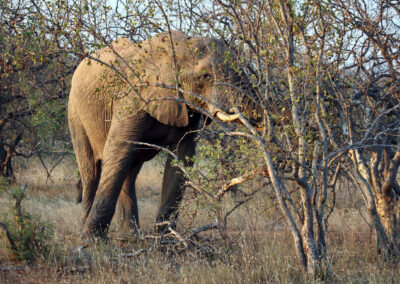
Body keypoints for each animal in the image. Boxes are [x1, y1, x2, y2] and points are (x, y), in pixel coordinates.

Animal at [67, 31, 252, 239]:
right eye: (205, 76)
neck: (178, 47)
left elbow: (181, 159)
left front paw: (167, 240)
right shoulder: (133, 96)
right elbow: (118, 149)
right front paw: (93, 241)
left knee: (129, 169)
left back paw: (129, 237)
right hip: (75, 113)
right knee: (91, 171)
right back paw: (86, 232)